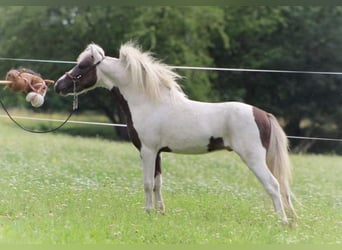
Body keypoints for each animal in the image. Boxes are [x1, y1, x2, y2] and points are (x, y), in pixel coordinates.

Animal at [54, 42, 296, 224]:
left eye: (83, 66)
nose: (58, 85)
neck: (149, 103)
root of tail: (263, 114)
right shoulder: (158, 153)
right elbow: (158, 183)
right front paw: (160, 213)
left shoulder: (148, 151)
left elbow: (147, 183)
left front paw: (147, 214)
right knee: (282, 187)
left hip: (253, 158)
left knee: (273, 185)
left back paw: (282, 222)